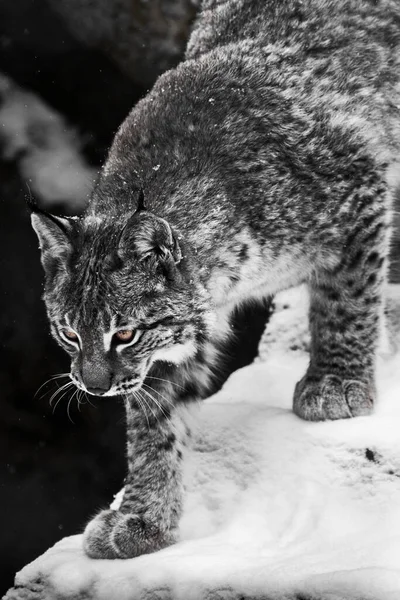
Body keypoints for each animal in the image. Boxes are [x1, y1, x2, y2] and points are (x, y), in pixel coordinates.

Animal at [31, 0, 400, 556]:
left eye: (125, 333)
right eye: (69, 333)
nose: (93, 388)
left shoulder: (362, 187)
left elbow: (346, 303)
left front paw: (336, 383)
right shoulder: (167, 345)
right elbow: (154, 422)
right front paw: (143, 517)